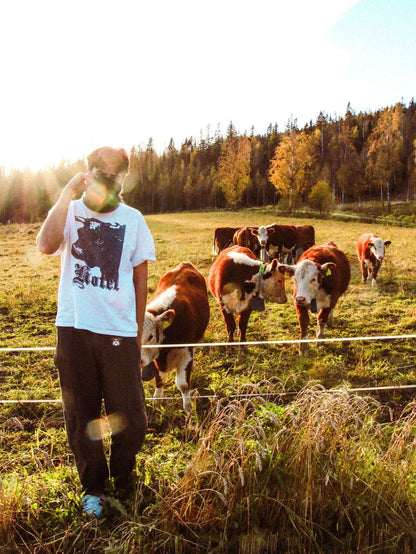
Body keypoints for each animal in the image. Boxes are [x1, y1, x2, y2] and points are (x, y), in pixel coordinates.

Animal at [141, 260, 210, 410]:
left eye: (150, 336)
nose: (140, 360)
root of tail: (185, 264)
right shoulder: (157, 360)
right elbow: (159, 379)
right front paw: (157, 400)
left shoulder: (186, 354)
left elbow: (183, 385)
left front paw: (188, 408)